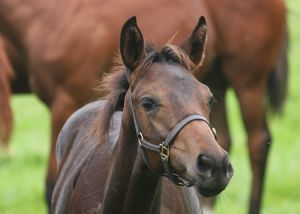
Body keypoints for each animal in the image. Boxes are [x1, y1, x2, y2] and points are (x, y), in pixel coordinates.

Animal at [0, 0, 288, 212]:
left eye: (207, 98)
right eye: (147, 102)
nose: (214, 165)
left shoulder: (65, 97)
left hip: (247, 78)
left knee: (258, 143)